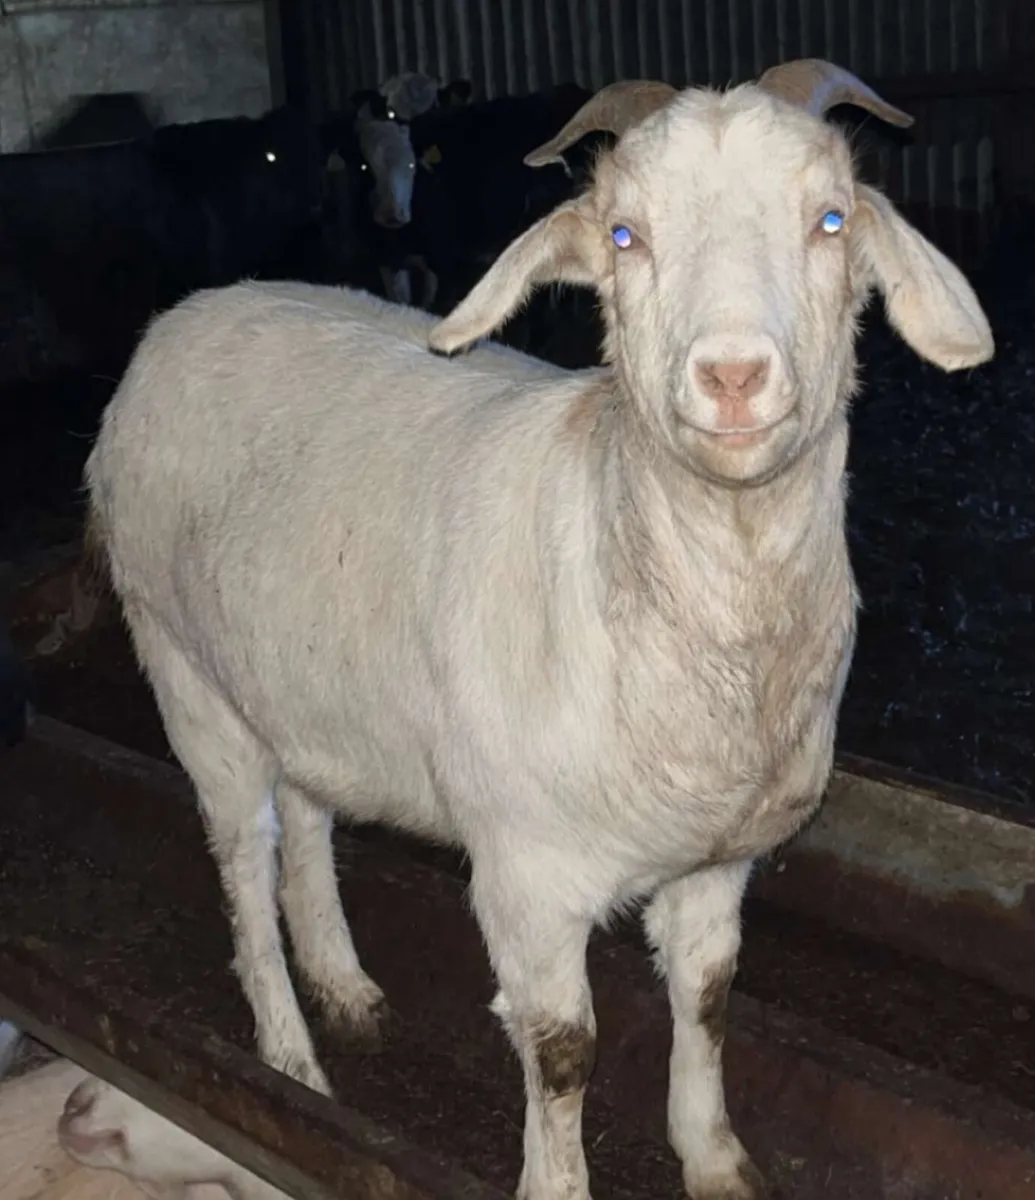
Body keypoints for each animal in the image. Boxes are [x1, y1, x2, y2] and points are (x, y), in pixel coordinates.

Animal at [84, 59, 993, 1200]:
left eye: (830, 220)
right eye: (624, 235)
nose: (733, 377)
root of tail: (190, 314)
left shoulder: (715, 859)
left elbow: (708, 998)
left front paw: (713, 1156)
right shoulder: (527, 877)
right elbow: (562, 1052)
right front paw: (555, 1179)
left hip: (299, 683)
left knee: (309, 822)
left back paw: (343, 984)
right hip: (186, 672)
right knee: (244, 864)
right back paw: (290, 1056)